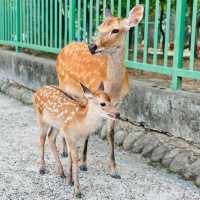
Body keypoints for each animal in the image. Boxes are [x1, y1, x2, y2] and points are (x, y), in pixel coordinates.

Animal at [56, 4, 144, 178]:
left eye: (116, 30)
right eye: (99, 27)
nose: (92, 46)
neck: (113, 88)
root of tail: (64, 47)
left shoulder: (117, 105)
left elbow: (110, 133)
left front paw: (114, 170)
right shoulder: (91, 97)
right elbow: (89, 130)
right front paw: (83, 164)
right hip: (62, 83)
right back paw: (64, 151)